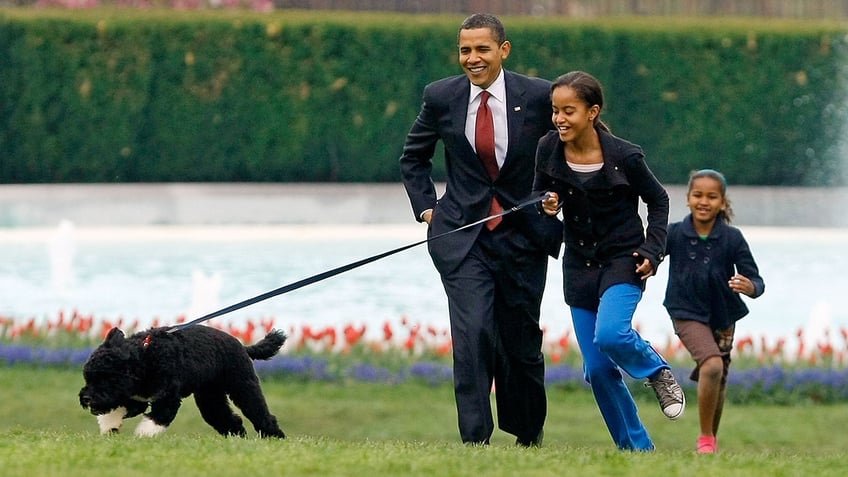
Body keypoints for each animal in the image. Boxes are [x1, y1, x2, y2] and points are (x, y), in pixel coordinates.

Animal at [79, 326, 286, 436]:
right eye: (88, 377)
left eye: (106, 377)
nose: (87, 398)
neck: (144, 358)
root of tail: (243, 346)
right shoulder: (136, 399)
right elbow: (117, 409)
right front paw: (109, 425)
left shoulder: (168, 398)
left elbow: (157, 418)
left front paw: (143, 436)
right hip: (210, 397)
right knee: (228, 419)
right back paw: (237, 438)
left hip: (243, 387)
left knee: (261, 414)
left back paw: (275, 437)